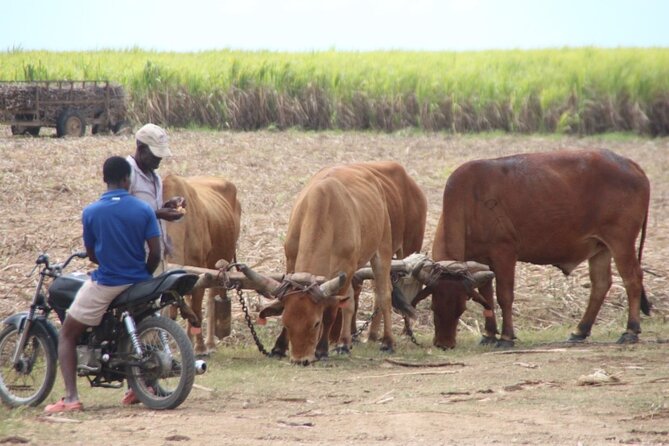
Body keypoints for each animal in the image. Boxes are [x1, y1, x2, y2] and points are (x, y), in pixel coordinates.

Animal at [163, 174, 241, 356]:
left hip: (218, 265)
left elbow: (197, 311)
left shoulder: (200, 275)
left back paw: (210, 343)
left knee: (211, 301)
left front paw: (198, 348)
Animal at [239, 162, 422, 364]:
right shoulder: (291, 261)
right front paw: (279, 347)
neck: (323, 212)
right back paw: (344, 343)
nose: (300, 360)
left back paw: (387, 342)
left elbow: (331, 311)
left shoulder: (345, 270)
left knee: (383, 295)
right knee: (350, 302)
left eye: (316, 323)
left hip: (382, 250)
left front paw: (322, 350)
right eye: (286, 322)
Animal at [410, 150, 648, 348]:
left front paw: (506, 337)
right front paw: (489, 335)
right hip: (601, 248)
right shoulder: (481, 261)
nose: (444, 344)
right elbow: (487, 296)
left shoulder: (504, 253)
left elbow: (504, 296)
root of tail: (630, 163)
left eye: (461, 308)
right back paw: (580, 331)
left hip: (621, 242)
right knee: (601, 284)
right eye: (434, 307)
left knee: (632, 279)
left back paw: (630, 331)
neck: (470, 202)